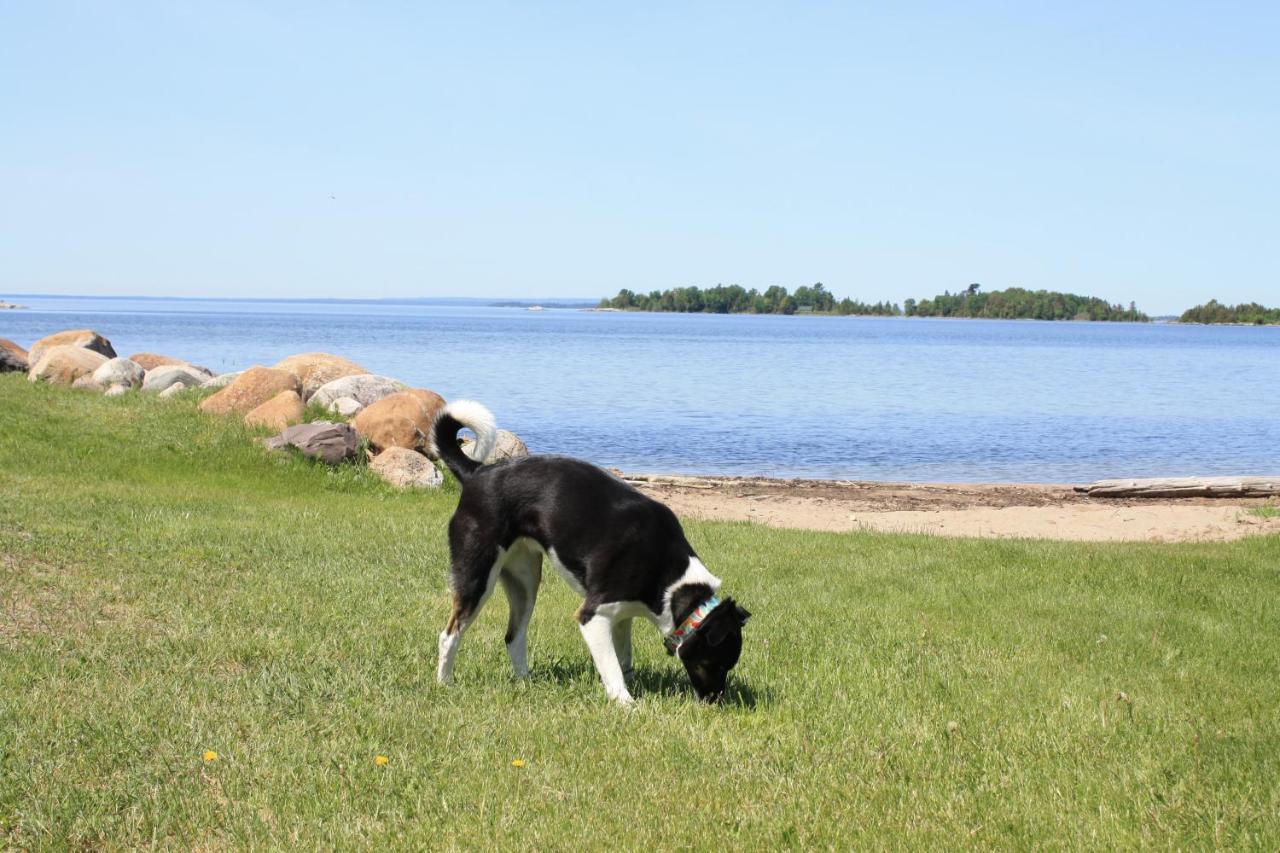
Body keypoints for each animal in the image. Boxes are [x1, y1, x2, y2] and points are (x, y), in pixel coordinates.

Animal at [430, 402, 747, 701]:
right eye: (716, 664)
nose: (714, 702)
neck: (672, 580)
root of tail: (478, 471)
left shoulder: (622, 617)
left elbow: (624, 661)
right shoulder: (593, 617)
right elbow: (612, 669)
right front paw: (626, 703)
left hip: (525, 581)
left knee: (513, 636)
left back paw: (525, 682)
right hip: (477, 577)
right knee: (449, 635)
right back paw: (444, 683)